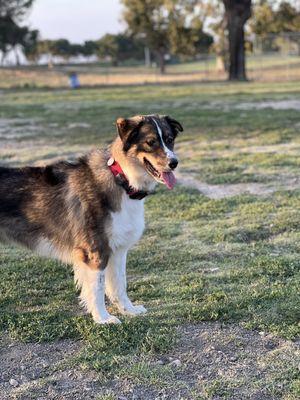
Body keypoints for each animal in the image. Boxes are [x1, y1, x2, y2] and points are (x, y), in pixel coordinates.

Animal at [0, 114, 183, 324]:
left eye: (169, 139)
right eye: (151, 142)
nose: (174, 162)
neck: (121, 179)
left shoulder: (118, 250)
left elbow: (120, 285)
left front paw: (128, 310)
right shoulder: (96, 250)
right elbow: (98, 288)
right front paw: (103, 318)